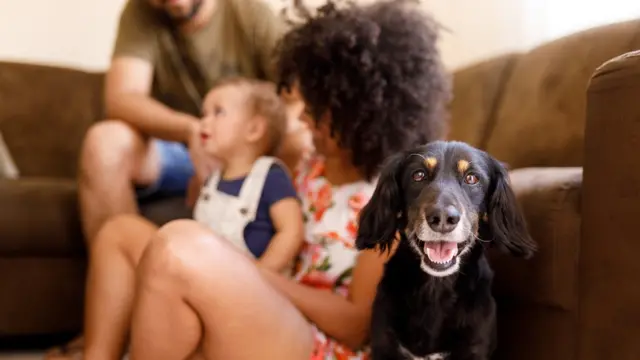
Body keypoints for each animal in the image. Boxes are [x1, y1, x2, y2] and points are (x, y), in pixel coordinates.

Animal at [358, 141, 536, 360]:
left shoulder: (474, 347)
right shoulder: (385, 344)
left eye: (471, 178)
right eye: (418, 175)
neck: (436, 289)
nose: (442, 218)